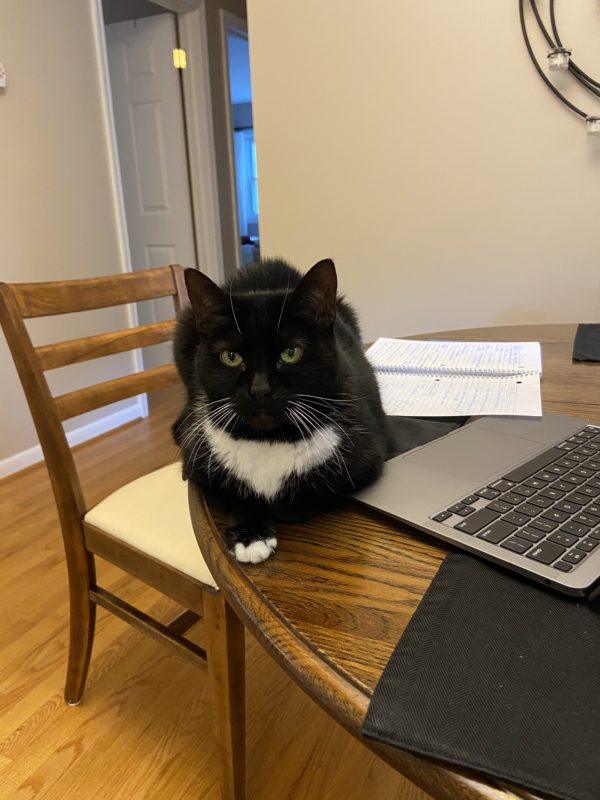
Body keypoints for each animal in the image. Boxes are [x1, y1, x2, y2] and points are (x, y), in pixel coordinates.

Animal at [171, 256, 394, 564]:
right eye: (231, 356)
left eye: (291, 353)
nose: (260, 390)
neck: (269, 438)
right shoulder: (198, 463)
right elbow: (235, 492)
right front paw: (251, 535)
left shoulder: (369, 456)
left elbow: (314, 492)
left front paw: (279, 509)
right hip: (184, 329)